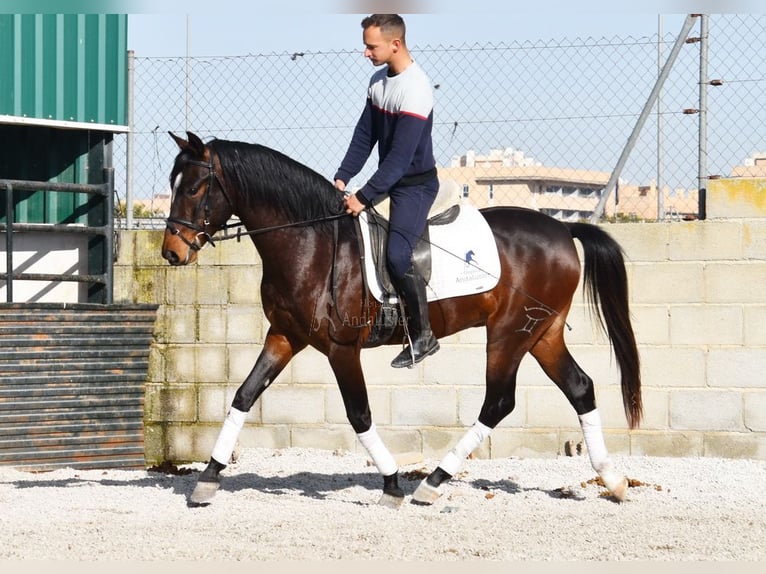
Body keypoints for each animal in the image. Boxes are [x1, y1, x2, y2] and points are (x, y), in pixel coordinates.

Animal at [165, 132, 644, 508]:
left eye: (195, 187)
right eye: (174, 184)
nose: (172, 251)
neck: (311, 241)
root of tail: (563, 230)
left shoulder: (342, 349)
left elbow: (359, 414)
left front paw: (393, 483)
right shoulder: (284, 336)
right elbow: (243, 397)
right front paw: (207, 479)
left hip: (508, 335)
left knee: (499, 402)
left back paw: (432, 482)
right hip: (542, 334)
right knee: (580, 388)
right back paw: (613, 480)